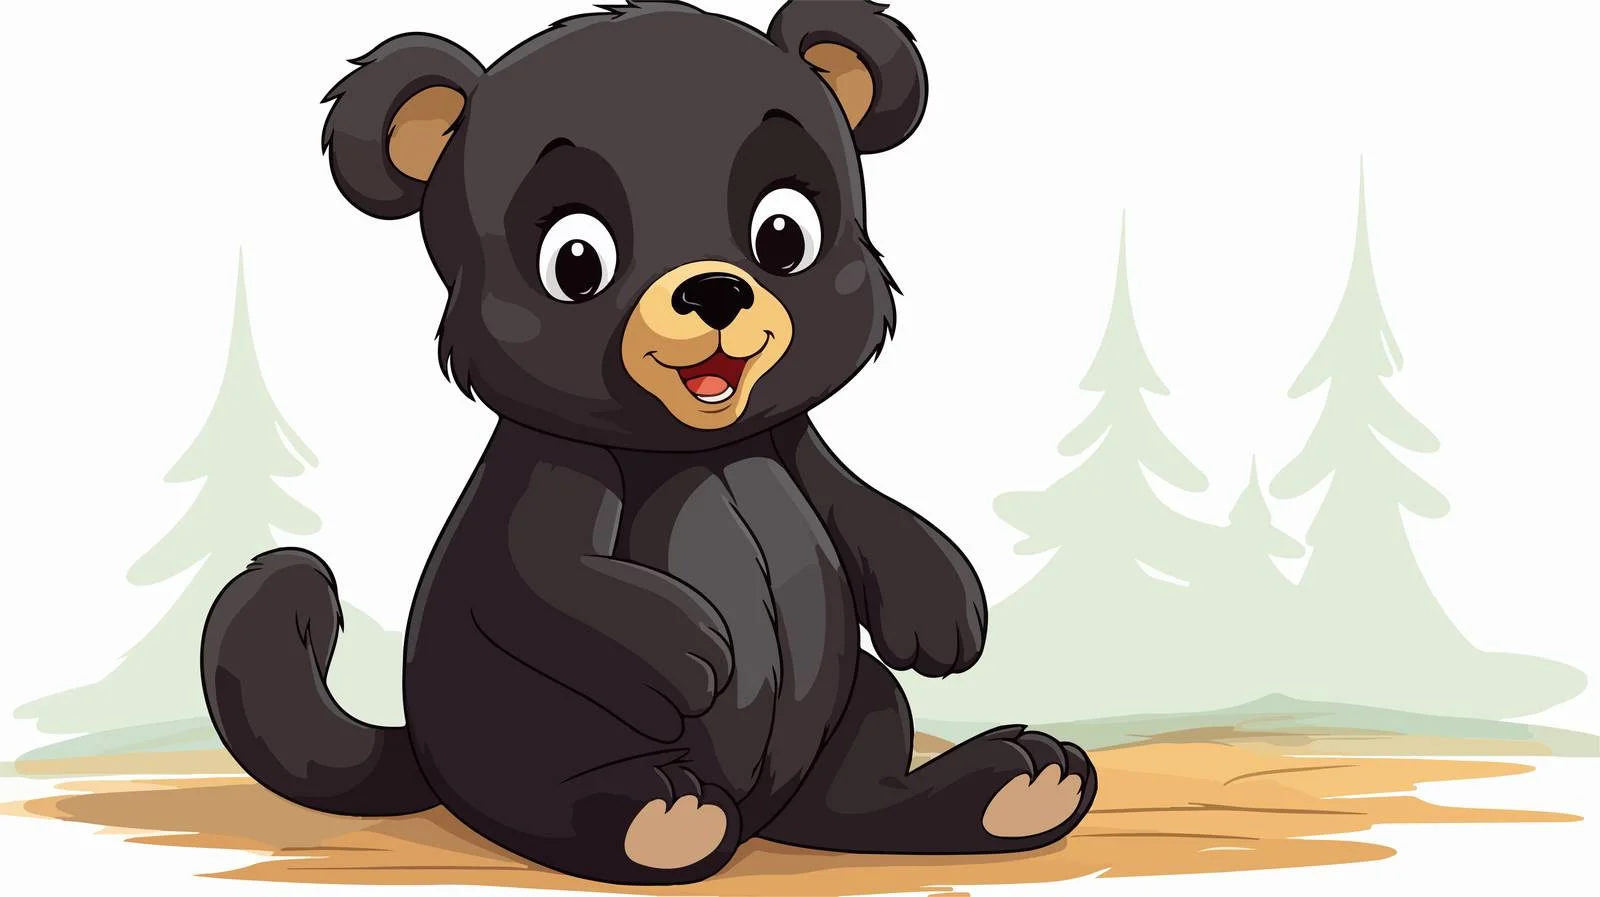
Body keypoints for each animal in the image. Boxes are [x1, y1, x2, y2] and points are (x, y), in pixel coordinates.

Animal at [200, 0, 1097, 886]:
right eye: (576, 260)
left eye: (783, 233)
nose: (716, 290)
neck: (698, 449)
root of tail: (420, 748)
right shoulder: (549, 469)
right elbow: (538, 572)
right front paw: (692, 648)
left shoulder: (790, 439)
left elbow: (864, 508)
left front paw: (940, 608)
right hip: (534, 739)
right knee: (559, 797)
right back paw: (661, 817)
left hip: (854, 696)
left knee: (855, 791)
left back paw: (1014, 787)